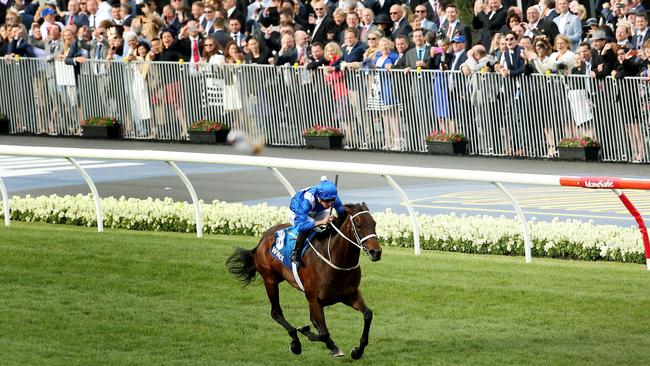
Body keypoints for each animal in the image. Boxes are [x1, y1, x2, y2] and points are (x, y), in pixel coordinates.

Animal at [227, 204, 380, 358]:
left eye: (374, 223)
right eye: (358, 225)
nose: (376, 252)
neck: (336, 260)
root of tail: (263, 239)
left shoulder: (350, 295)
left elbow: (368, 314)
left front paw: (357, 351)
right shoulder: (314, 299)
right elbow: (322, 331)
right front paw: (306, 331)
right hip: (270, 280)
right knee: (276, 313)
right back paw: (295, 343)